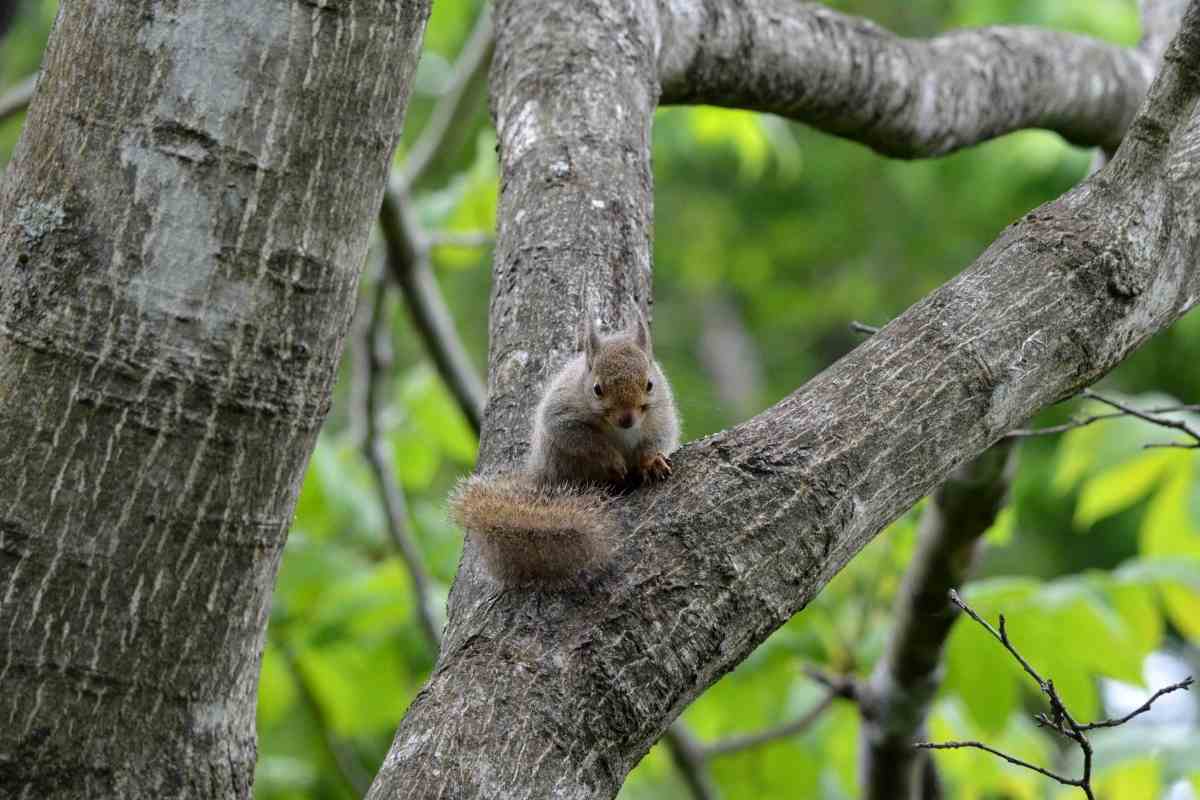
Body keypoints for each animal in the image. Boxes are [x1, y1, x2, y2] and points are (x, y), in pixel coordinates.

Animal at [451, 309, 681, 585]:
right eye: (597, 389)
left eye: (649, 384)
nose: (627, 419)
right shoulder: (563, 415)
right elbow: (581, 439)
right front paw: (612, 459)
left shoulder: (661, 414)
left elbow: (657, 439)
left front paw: (651, 461)